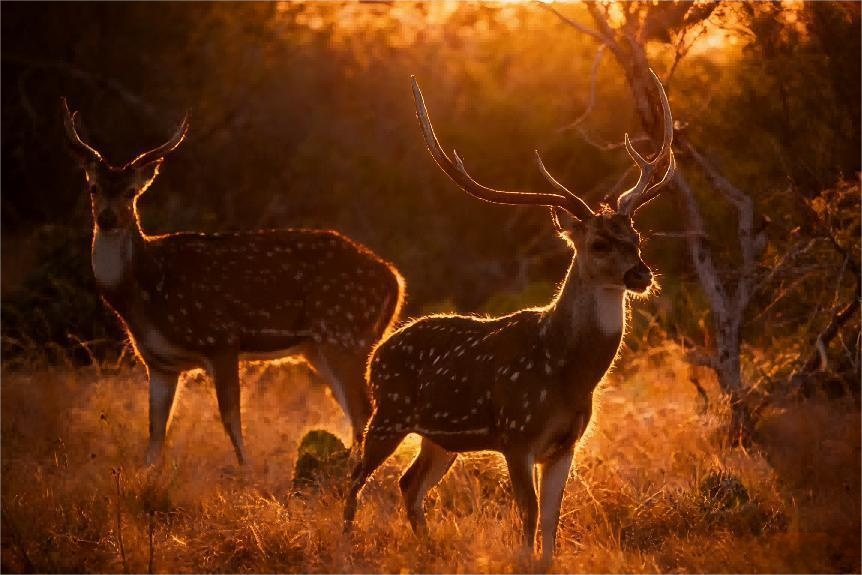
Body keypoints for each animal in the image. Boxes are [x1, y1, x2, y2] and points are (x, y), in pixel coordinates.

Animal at [62, 101, 405, 465]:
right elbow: (155, 437)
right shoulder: (160, 362)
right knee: (357, 415)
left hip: (345, 335)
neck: (146, 294)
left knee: (364, 413)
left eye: (131, 193)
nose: (107, 218)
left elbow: (232, 425)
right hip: (319, 348)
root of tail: (395, 281)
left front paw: (245, 473)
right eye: (94, 187)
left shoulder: (220, 338)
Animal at [343, 70, 675, 562]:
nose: (641, 274)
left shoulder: (565, 445)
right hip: (389, 411)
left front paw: (546, 563)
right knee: (355, 478)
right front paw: (522, 561)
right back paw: (343, 545)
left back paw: (429, 550)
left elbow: (553, 518)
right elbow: (529, 513)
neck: (567, 374)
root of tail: (376, 354)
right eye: (598, 244)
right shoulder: (516, 435)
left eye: (635, 237)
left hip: (440, 437)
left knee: (409, 484)